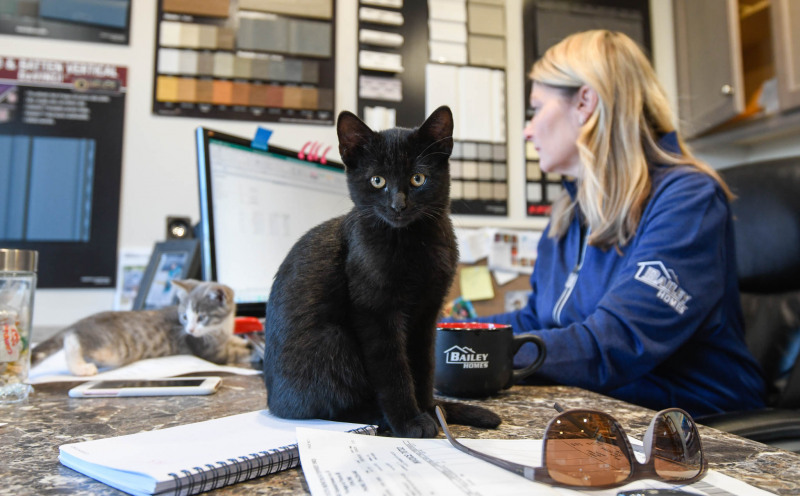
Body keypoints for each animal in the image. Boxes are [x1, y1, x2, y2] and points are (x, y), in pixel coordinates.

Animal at [31, 280, 250, 374]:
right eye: (185, 317)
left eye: (202, 317)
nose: (190, 330)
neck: (221, 328)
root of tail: (81, 321)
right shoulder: (209, 351)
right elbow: (233, 353)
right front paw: (247, 350)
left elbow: (234, 340)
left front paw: (240, 340)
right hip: (112, 349)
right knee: (72, 339)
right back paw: (81, 367)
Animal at [262, 106, 500, 436]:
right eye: (377, 180)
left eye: (417, 178)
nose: (398, 205)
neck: (412, 243)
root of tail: (272, 402)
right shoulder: (375, 313)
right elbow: (393, 372)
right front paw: (411, 421)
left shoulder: (426, 315)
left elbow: (423, 367)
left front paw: (430, 410)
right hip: (333, 341)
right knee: (333, 407)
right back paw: (381, 418)